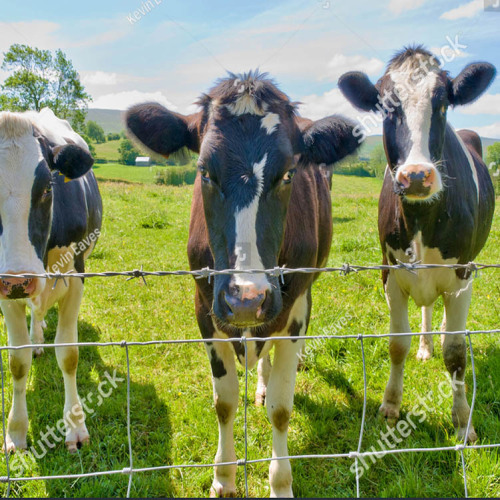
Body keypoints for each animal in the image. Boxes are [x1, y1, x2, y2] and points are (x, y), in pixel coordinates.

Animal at [0, 108, 102, 454]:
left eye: (47, 189)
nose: (18, 280)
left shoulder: (75, 277)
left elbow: (68, 355)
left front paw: (76, 427)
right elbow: (17, 361)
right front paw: (16, 431)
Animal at [125, 71, 360, 500]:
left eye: (289, 173)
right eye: (204, 171)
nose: (246, 300)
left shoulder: (293, 311)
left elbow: (281, 408)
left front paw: (280, 484)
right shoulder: (205, 308)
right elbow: (225, 403)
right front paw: (224, 477)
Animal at [340, 45, 496, 440]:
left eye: (442, 105)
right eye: (386, 108)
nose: (415, 176)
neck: (422, 221)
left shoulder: (462, 274)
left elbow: (455, 351)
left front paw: (462, 421)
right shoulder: (390, 271)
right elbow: (397, 344)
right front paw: (391, 404)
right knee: (425, 308)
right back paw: (426, 346)